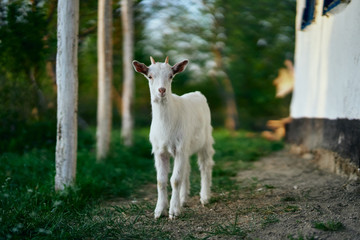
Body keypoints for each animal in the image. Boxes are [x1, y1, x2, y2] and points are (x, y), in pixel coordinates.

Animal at [132, 56, 214, 219]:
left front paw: (174, 211)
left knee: (205, 165)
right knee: (186, 169)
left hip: (205, 139)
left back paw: (204, 197)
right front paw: (159, 211)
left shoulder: (180, 148)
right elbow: (161, 180)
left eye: (170, 76)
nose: (162, 90)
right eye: (150, 76)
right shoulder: (159, 151)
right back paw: (183, 199)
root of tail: (197, 93)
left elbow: (175, 179)